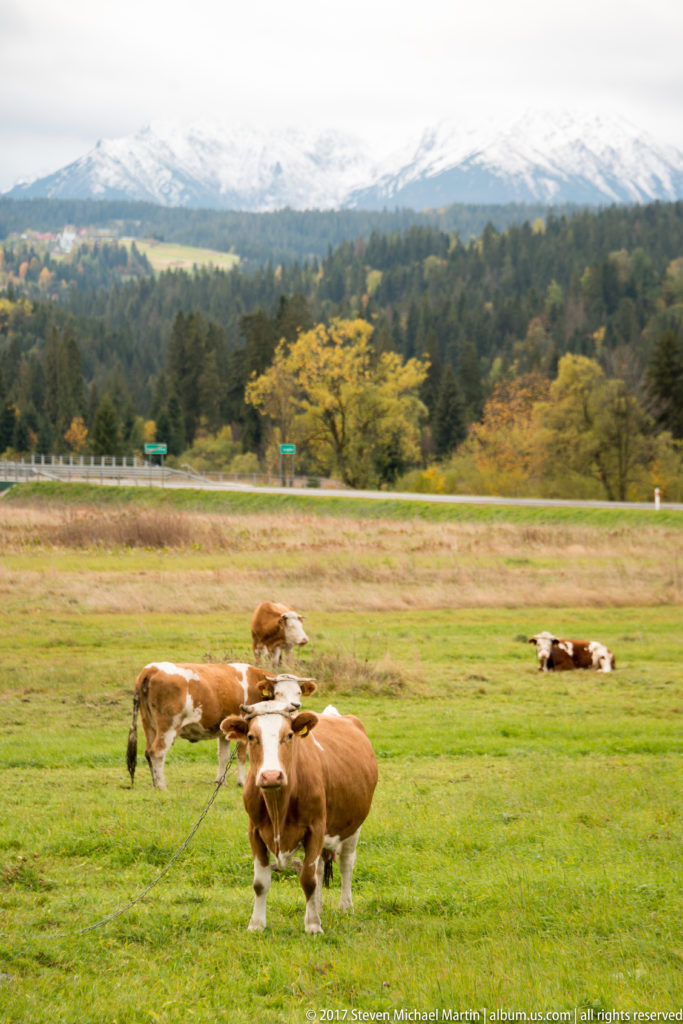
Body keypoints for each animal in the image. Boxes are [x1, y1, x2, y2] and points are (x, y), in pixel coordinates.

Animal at [126, 662, 317, 790]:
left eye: (298, 692)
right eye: (279, 692)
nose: (295, 706)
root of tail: (151, 669)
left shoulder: (223, 731)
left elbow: (223, 756)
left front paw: (220, 781)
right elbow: (241, 755)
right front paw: (242, 782)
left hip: (149, 725)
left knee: (148, 752)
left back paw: (154, 784)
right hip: (168, 727)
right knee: (157, 753)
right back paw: (162, 786)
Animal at [220, 701, 377, 934]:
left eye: (289, 735)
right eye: (250, 736)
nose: (271, 776)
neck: (278, 806)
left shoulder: (315, 828)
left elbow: (308, 880)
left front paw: (312, 925)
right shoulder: (255, 831)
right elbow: (260, 883)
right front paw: (256, 924)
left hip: (353, 825)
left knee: (346, 863)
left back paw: (346, 906)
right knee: (320, 867)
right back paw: (318, 906)